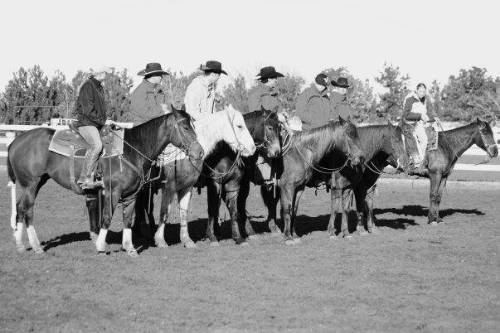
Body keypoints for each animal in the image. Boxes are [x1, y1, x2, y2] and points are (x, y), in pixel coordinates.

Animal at [6, 108, 202, 254]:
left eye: (193, 125)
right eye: (185, 127)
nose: (199, 152)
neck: (132, 150)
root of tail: (15, 141)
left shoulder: (132, 193)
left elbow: (127, 219)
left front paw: (129, 248)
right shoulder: (112, 192)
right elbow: (107, 217)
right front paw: (100, 246)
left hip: (36, 183)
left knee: (20, 209)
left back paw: (20, 245)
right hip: (31, 184)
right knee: (27, 210)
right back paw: (36, 246)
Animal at [198, 107, 286, 245]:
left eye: (280, 127)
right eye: (270, 127)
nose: (277, 152)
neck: (225, 152)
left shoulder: (236, 183)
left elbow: (235, 207)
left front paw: (241, 234)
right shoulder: (215, 183)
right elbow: (213, 207)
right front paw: (212, 236)